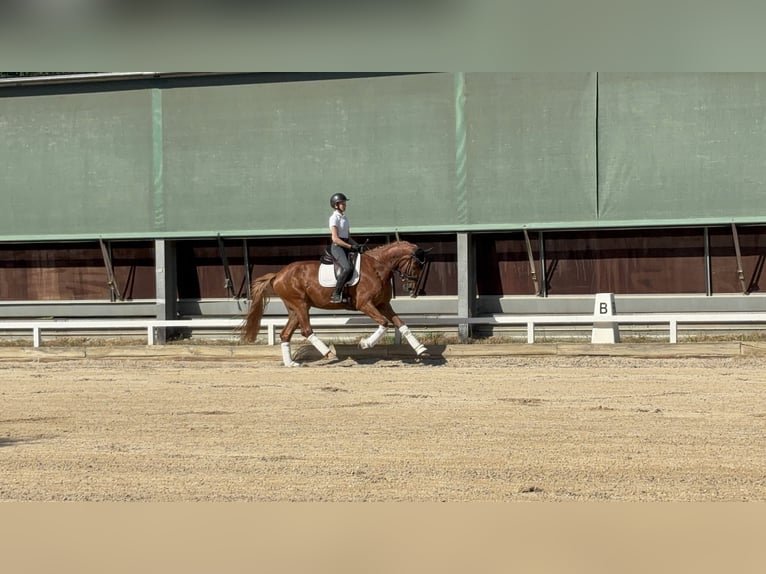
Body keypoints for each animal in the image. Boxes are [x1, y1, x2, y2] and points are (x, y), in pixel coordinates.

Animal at [241, 240, 431, 366]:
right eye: (416, 265)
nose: (411, 289)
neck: (377, 268)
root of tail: (278, 274)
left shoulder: (383, 305)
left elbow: (401, 324)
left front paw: (421, 349)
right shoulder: (365, 304)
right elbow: (384, 323)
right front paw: (365, 343)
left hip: (296, 308)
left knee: (285, 334)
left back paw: (291, 364)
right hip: (300, 305)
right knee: (306, 330)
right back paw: (329, 353)